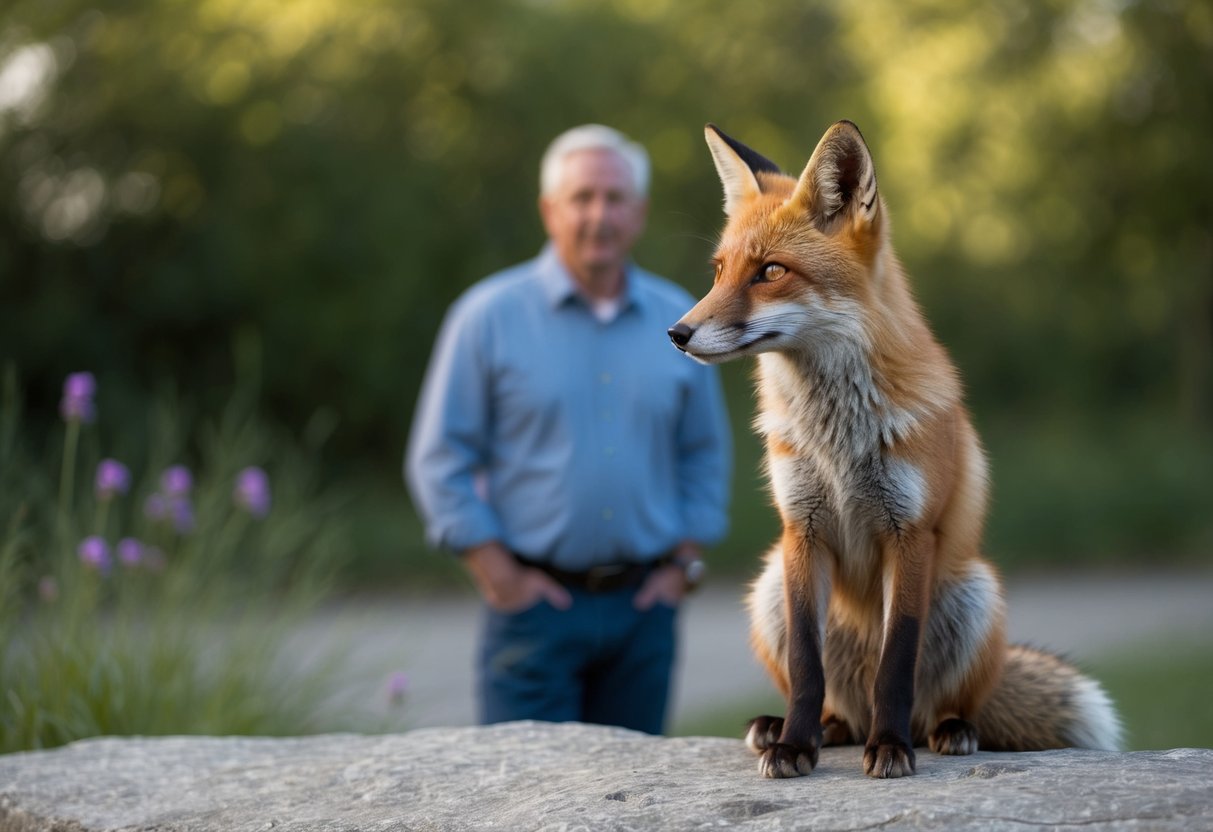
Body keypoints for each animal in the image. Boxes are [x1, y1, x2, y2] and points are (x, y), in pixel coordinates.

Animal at [668, 121, 1122, 779]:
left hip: (975, 593)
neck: (837, 438)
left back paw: (942, 730)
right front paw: (794, 745)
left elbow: (896, 664)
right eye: (720, 270)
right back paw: (811, 728)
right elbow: (806, 666)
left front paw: (890, 747)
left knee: (939, 703)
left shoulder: (910, 533)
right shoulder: (801, 531)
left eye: (770, 271)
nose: (677, 333)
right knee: (833, 700)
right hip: (769, 586)